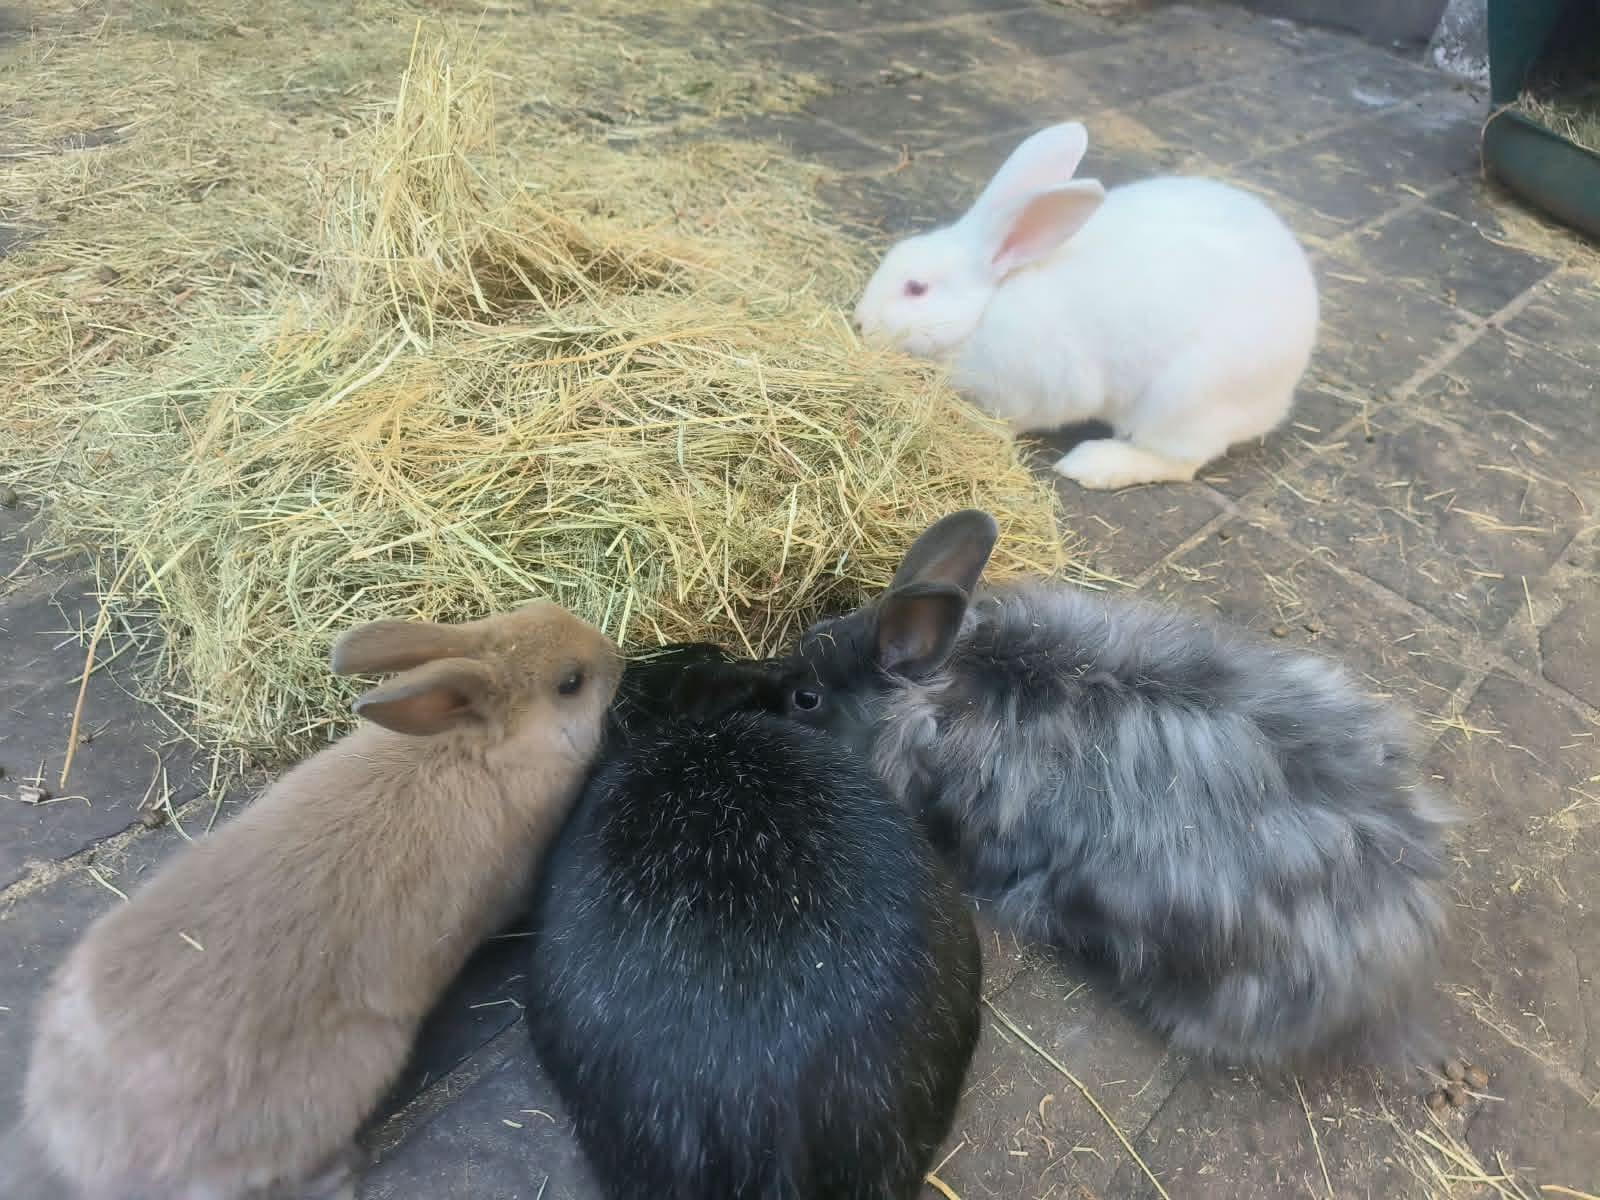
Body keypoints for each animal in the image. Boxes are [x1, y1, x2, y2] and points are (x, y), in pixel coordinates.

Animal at [853, 122, 1320, 490]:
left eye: (916, 288)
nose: (860, 323)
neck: (985, 309)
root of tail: (1280, 396)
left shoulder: (1038, 388)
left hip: (1186, 401)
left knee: (1179, 462)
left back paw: (1093, 465)